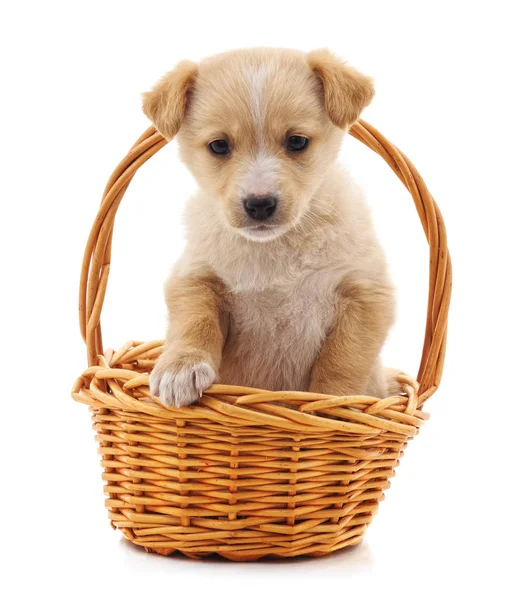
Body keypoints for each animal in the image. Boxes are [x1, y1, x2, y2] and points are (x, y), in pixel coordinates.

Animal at [144, 48, 400, 408]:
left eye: (297, 141)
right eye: (219, 146)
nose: (259, 204)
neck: (274, 249)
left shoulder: (365, 291)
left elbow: (343, 359)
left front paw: (332, 405)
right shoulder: (194, 274)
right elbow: (194, 320)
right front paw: (181, 368)